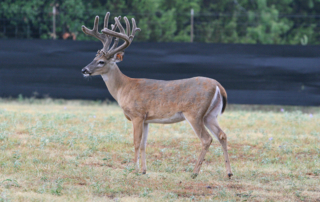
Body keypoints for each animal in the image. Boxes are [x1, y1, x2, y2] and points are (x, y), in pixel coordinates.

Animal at [81, 11, 232, 178]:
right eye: (94, 58)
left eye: (101, 62)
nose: (84, 70)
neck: (123, 88)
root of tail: (219, 86)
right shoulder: (146, 119)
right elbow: (143, 144)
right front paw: (143, 170)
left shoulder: (137, 114)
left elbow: (136, 142)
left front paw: (133, 169)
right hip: (210, 115)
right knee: (222, 135)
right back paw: (229, 173)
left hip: (195, 113)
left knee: (206, 139)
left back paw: (194, 172)